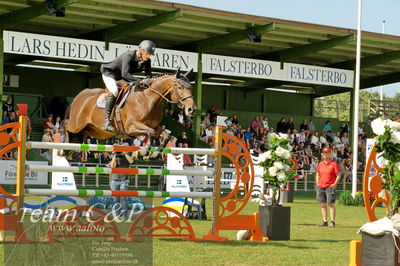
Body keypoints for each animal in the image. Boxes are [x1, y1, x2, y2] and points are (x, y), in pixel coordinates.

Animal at [63, 68, 196, 159]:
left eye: (190, 88)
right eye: (180, 87)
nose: (191, 109)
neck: (148, 98)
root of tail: (79, 96)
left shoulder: (154, 126)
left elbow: (166, 134)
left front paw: (155, 153)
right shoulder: (130, 127)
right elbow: (150, 133)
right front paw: (143, 152)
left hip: (94, 131)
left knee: (80, 135)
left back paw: (71, 152)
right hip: (76, 124)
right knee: (66, 126)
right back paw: (64, 149)